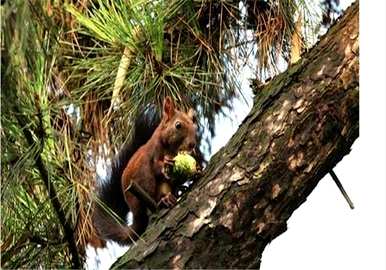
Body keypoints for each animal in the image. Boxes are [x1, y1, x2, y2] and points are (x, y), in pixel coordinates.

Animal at [93, 96, 196, 245]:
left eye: (194, 125)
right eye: (178, 125)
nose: (192, 144)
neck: (171, 149)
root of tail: (136, 215)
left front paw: (195, 171)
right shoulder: (153, 153)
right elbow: (156, 166)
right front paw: (166, 164)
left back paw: (174, 193)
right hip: (142, 190)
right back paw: (163, 200)